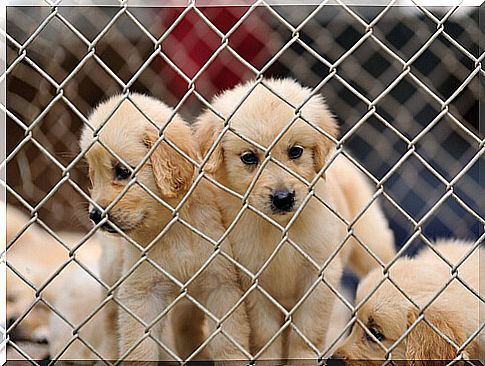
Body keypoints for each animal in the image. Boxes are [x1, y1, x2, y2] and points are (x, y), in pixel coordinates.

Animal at [79, 93, 250, 362]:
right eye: (93, 175)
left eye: (123, 171)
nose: (95, 215)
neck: (172, 225)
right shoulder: (141, 292)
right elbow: (139, 348)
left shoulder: (221, 284)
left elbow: (229, 342)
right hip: (111, 272)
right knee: (109, 325)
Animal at [193, 78, 394, 360]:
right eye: (249, 158)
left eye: (296, 151)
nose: (283, 198)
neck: (280, 227)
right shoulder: (254, 282)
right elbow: (266, 335)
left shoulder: (319, 274)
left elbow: (307, 333)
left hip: (370, 242)